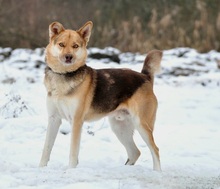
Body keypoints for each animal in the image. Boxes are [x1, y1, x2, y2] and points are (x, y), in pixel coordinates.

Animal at [39, 21, 162, 171]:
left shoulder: (76, 121)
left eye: (75, 46)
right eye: (61, 44)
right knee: (135, 152)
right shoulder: (54, 119)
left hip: (141, 124)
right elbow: (46, 148)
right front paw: (41, 169)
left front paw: (71, 170)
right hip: (119, 127)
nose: (68, 57)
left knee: (155, 149)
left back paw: (157, 172)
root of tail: (145, 77)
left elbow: (73, 152)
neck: (64, 75)